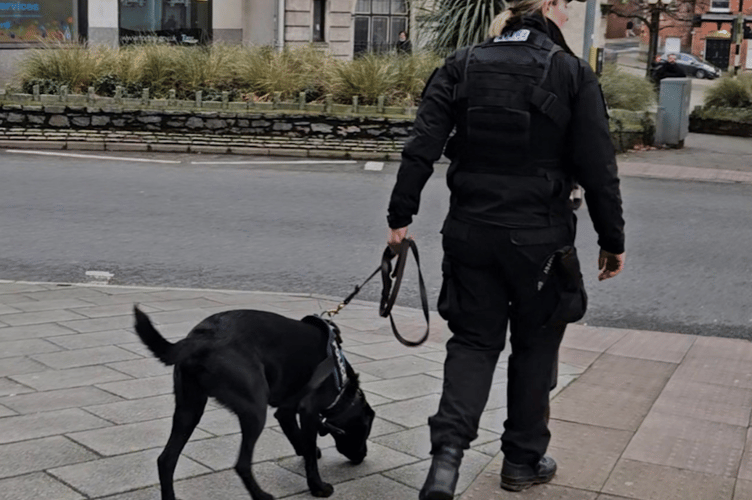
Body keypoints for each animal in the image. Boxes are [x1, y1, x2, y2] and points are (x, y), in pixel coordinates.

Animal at [134, 306, 374, 500]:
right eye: (364, 432)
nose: (362, 456)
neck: (342, 382)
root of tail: (203, 339)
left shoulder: (286, 410)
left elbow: (298, 438)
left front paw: (309, 452)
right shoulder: (309, 411)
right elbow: (309, 453)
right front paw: (317, 486)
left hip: (189, 408)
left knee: (166, 460)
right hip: (255, 410)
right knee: (241, 464)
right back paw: (261, 496)